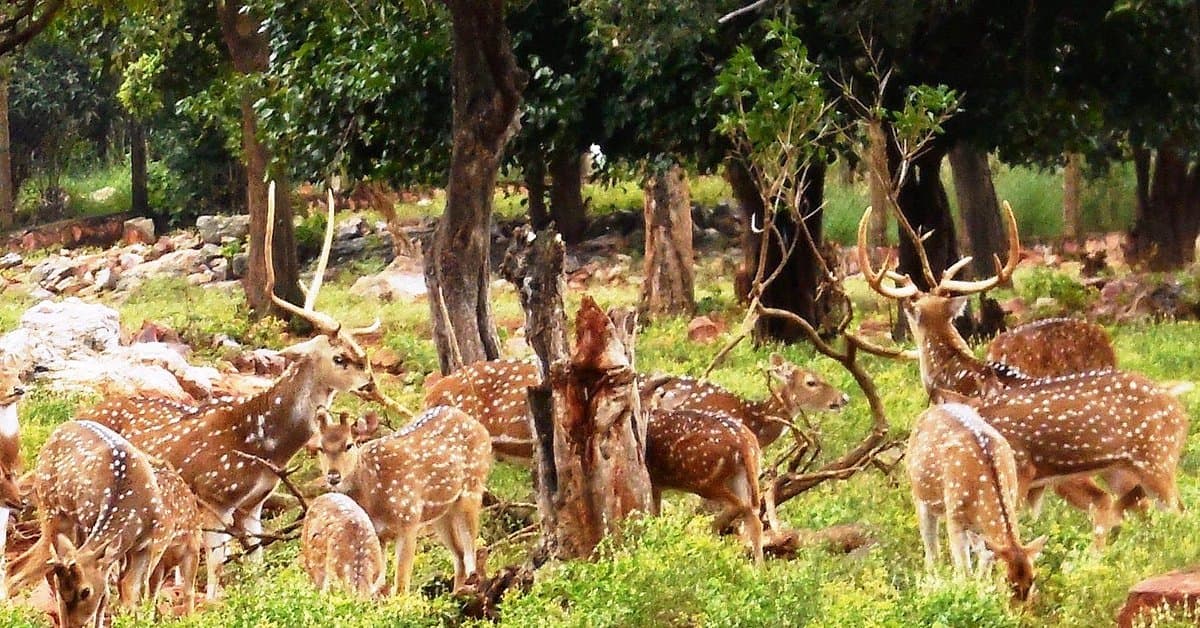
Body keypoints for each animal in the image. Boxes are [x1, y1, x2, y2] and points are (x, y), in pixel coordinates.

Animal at [8, 420, 171, 626]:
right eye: (63, 591)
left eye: (85, 591)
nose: (74, 624)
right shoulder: (88, 524)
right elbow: (110, 592)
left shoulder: (150, 544)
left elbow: (129, 590)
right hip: (53, 511)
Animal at [93, 183, 395, 600]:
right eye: (340, 357)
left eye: (361, 351)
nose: (371, 383)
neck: (261, 444)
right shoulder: (213, 496)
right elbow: (217, 566)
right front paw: (212, 600)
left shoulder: (253, 505)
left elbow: (256, 560)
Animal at [313, 405, 492, 596]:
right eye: (320, 448)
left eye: (349, 445)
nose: (333, 476)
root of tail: (479, 426)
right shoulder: (378, 534)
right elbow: (378, 581)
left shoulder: (409, 520)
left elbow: (401, 584)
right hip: (441, 513)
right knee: (459, 554)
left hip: (473, 489)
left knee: (470, 552)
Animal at [645, 407, 764, 563]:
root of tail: (744, 442)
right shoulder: (657, 485)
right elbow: (657, 513)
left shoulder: (653, 481)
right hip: (742, 475)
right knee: (754, 517)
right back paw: (759, 567)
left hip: (701, 478)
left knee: (740, 505)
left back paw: (705, 534)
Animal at [907, 402, 1047, 602]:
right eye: (1006, 579)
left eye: (1033, 578)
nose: (1019, 607)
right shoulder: (954, 518)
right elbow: (964, 571)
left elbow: (985, 560)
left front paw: (983, 592)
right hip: (919, 496)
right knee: (932, 552)